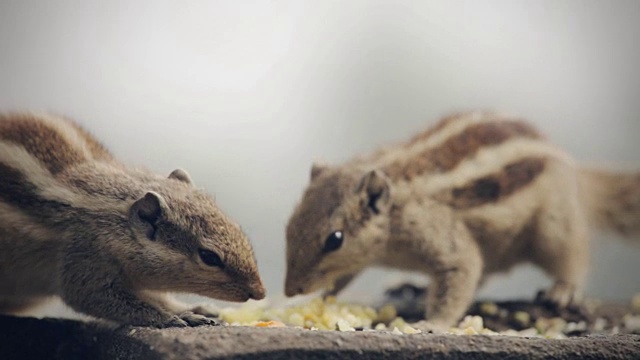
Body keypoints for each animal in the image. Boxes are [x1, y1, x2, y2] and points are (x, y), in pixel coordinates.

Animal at [0, 112, 264, 326]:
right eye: (209, 257)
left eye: (239, 230)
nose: (260, 292)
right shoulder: (81, 258)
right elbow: (94, 297)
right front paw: (168, 318)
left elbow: (155, 296)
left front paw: (190, 309)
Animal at [284, 111, 640, 330]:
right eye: (289, 227)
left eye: (335, 239)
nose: (290, 291)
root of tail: (578, 172)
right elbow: (344, 276)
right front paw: (321, 299)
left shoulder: (441, 235)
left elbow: (462, 269)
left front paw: (432, 324)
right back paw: (413, 286)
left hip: (555, 225)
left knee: (572, 257)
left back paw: (563, 289)